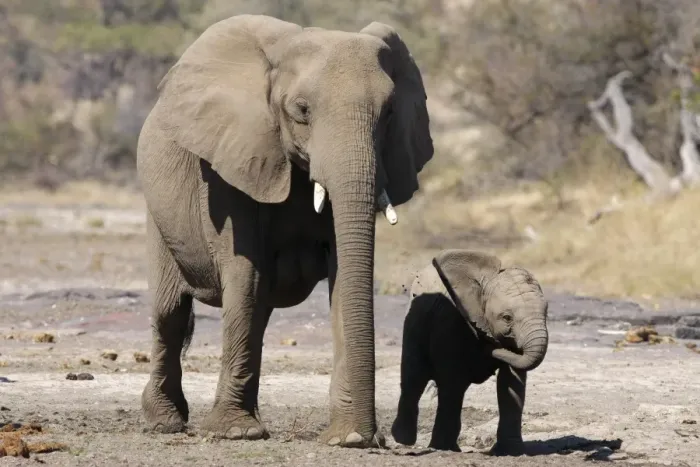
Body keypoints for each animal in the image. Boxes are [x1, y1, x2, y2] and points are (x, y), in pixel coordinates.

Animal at [136, 14, 433, 449]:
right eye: (301, 110)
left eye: (390, 112)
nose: (375, 437)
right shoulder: (231, 166)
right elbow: (245, 272)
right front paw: (235, 434)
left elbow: (344, 277)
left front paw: (346, 438)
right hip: (157, 213)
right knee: (171, 313)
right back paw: (165, 422)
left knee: (254, 312)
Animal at [390, 250, 548, 453]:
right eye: (507, 318)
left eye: (546, 313)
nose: (489, 344)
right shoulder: (451, 320)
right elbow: (453, 381)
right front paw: (444, 448)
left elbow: (512, 382)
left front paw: (511, 452)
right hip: (414, 322)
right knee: (414, 376)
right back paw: (404, 439)